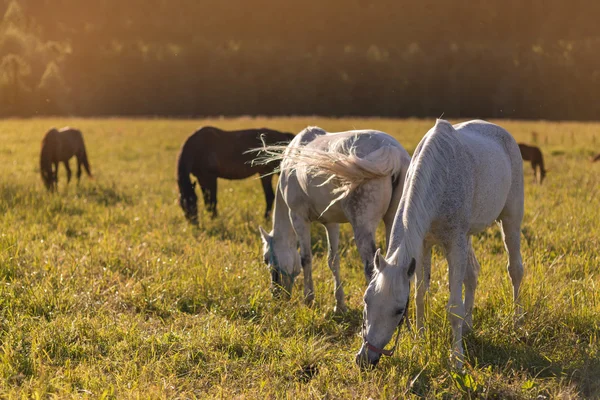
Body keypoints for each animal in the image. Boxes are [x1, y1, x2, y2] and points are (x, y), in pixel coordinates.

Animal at [258, 126, 412, 314]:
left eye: (266, 259)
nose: (277, 295)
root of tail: (394, 153)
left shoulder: (298, 218)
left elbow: (306, 258)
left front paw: (309, 299)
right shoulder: (331, 224)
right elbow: (333, 260)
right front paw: (339, 305)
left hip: (362, 227)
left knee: (371, 268)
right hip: (392, 222)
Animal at [356, 119, 524, 368]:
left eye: (398, 310)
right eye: (367, 300)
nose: (365, 359)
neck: (439, 177)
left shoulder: (454, 243)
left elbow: (453, 306)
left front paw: (457, 359)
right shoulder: (424, 246)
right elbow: (420, 296)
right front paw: (419, 343)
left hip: (510, 219)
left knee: (515, 270)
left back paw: (517, 322)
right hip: (467, 237)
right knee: (472, 274)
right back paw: (468, 326)